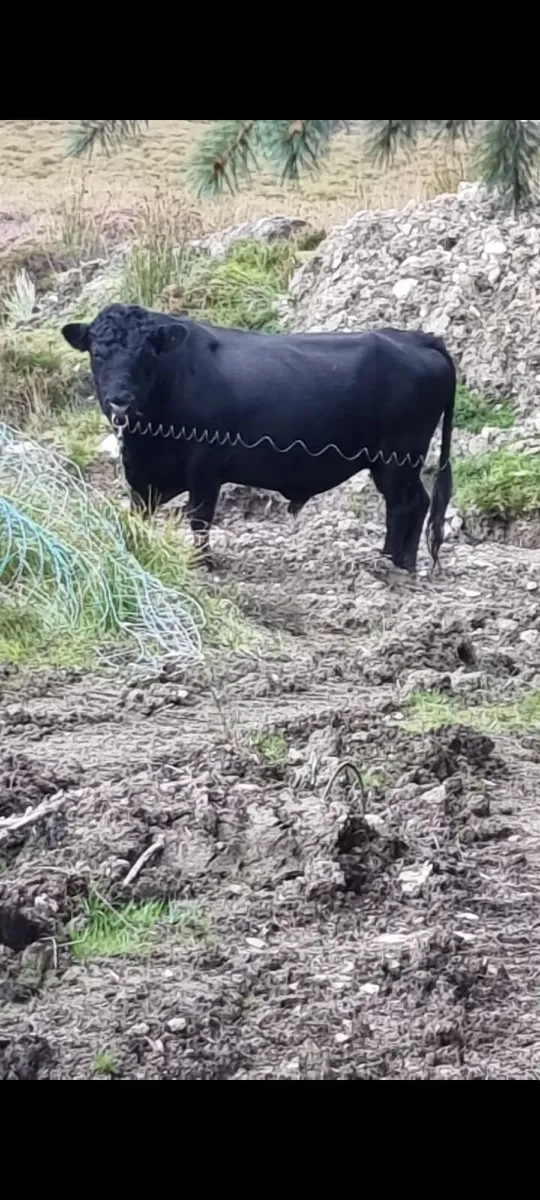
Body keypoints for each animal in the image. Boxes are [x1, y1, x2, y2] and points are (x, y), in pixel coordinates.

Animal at [61, 302, 455, 573]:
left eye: (147, 353)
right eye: (97, 353)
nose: (121, 400)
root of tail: (418, 338)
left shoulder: (205, 465)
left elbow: (200, 516)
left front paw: (202, 563)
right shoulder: (143, 475)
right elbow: (137, 515)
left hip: (398, 456)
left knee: (403, 505)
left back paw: (388, 563)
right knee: (417, 502)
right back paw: (404, 564)